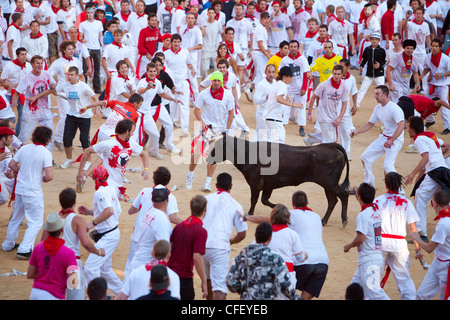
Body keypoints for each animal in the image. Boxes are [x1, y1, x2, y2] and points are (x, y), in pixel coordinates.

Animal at [206, 135, 350, 228]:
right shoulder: (268, 186)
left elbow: (254, 200)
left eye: (218, 147)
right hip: (328, 185)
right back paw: (326, 221)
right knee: (333, 200)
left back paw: (340, 220)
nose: (207, 159)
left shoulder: (255, 184)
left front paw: (250, 214)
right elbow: (264, 200)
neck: (247, 153)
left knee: (342, 196)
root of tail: (332, 145)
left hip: (329, 183)